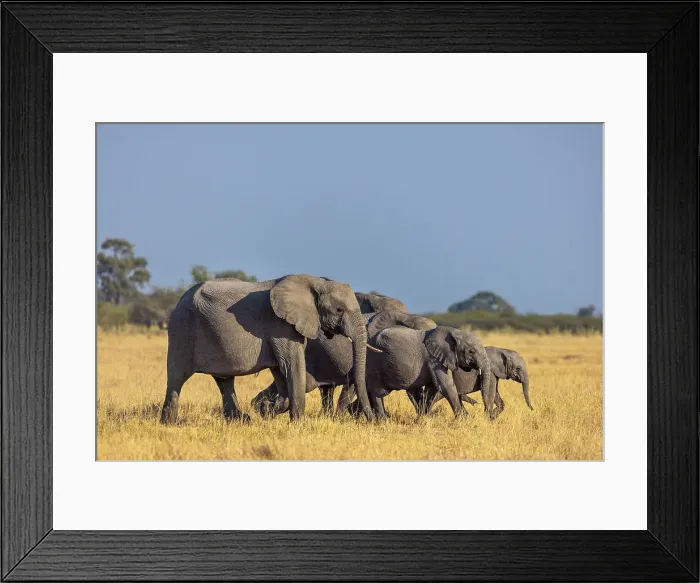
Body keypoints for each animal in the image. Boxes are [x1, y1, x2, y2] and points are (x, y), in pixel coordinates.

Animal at [160, 274, 374, 424]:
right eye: (339, 310)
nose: (373, 421)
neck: (316, 282)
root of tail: (181, 299)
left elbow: (281, 371)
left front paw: (267, 409)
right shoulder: (281, 325)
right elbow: (292, 366)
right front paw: (297, 424)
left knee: (224, 380)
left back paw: (241, 420)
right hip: (182, 327)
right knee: (177, 377)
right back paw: (170, 423)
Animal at [343, 326, 497, 421]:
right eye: (471, 351)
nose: (488, 415)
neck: (453, 331)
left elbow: (432, 389)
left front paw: (423, 418)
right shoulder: (433, 358)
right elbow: (445, 386)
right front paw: (464, 419)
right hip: (374, 361)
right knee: (377, 392)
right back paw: (382, 421)